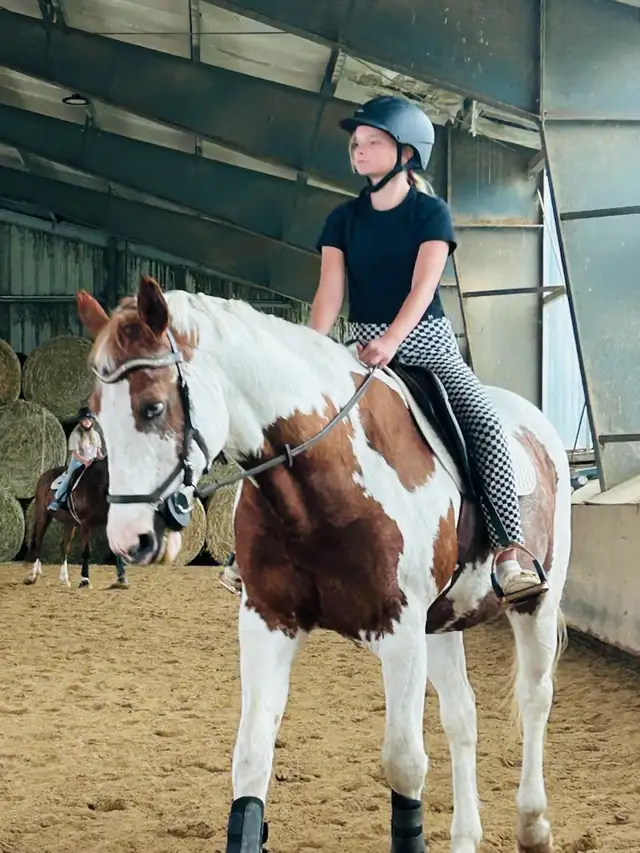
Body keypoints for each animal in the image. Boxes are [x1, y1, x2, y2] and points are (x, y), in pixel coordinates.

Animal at [24, 457, 127, 589]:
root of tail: (44, 474)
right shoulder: (85, 524)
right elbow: (86, 552)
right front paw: (85, 580)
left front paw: (121, 579)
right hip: (43, 514)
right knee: (38, 541)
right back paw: (33, 575)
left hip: (69, 523)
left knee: (64, 546)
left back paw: (64, 579)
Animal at [76, 274, 571, 853]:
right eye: (97, 412)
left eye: (152, 408)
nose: (129, 539)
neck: (323, 474)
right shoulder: (269, 621)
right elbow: (251, 758)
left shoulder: (399, 629)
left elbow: (404, 764)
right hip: (441, 623)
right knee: (461, 716)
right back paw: (466, 836)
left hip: (535, 603)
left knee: (536, 699)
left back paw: (534, 825)